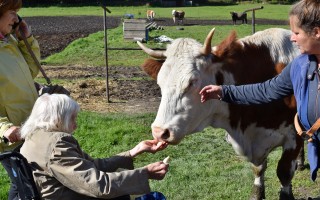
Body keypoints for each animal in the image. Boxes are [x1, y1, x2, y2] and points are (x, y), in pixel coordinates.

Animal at [138, 28, 302, 200]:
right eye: (159, 82)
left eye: (192, 82)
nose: (159, 132)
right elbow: (258, 169)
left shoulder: (294, 136)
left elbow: (284, 173)